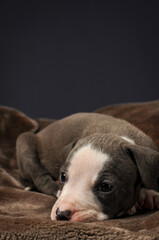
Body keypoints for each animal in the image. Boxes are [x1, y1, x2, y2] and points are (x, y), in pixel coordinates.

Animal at [15, 113, 159, 222]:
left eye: (106, 186)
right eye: (63, 176)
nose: (61, 214)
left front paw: (149, 194)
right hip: (24, 142)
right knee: (40, 179)